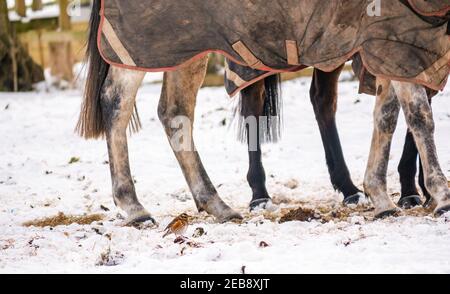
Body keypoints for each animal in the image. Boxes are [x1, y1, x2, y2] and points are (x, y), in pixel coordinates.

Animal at [77, 1, 450, 224]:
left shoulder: (393, 43)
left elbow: (388, 116)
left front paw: (384, 196)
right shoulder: (392, 38)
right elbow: (418, 115)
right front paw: (439, 195)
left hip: (187, 45)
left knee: (175, 112)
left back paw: (216, 204)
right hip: (146, 44)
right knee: (116, 103)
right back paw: (133, 207)